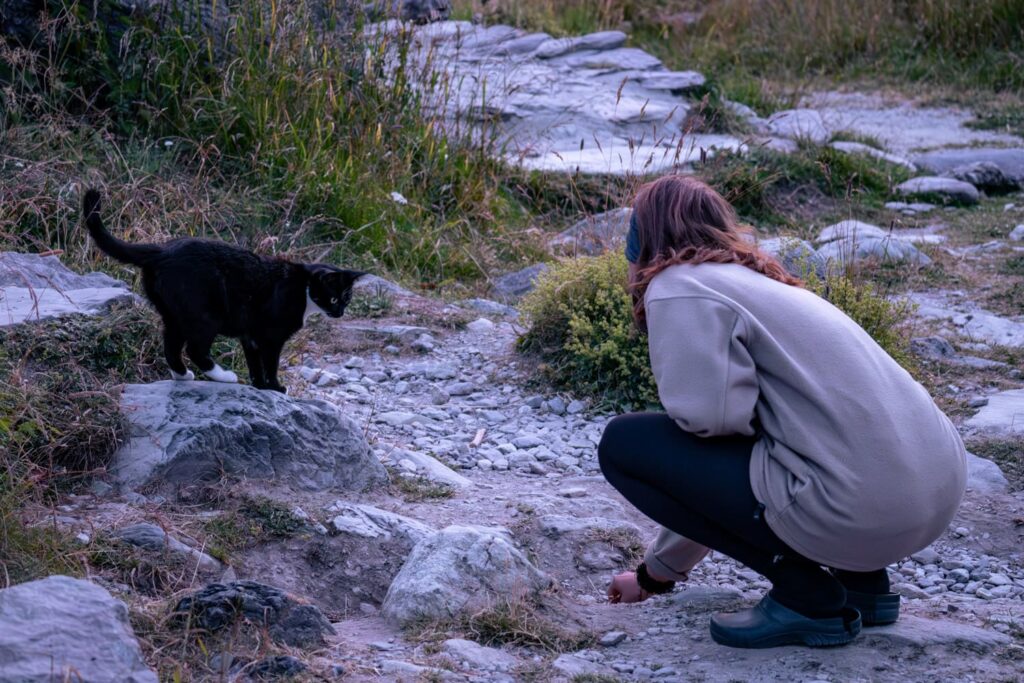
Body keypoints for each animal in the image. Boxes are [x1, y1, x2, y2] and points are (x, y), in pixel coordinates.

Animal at [82, 189, 364, 393]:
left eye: (347, 298)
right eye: (334, 297)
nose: (340, 312)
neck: (303, 288)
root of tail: (162, 250)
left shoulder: (250, 335)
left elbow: (255, 363)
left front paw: (260, 386)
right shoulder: (271, 336)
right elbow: (271, 363)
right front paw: (275, 387)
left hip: (173, 314)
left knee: (171, 346)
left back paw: (183, 376)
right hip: (206, 315)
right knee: (195, 349)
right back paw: (224, 377)